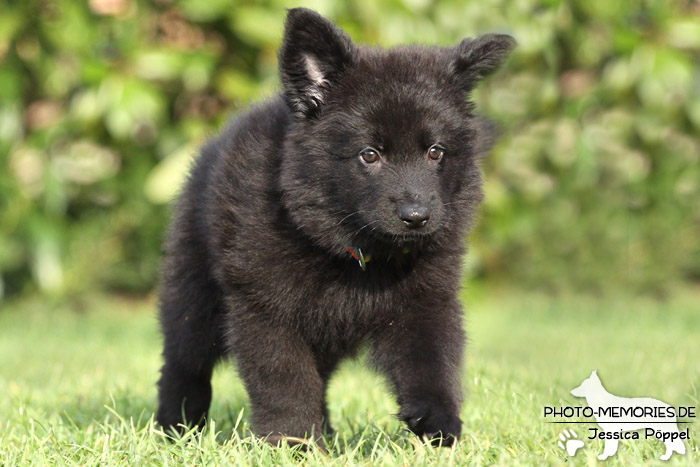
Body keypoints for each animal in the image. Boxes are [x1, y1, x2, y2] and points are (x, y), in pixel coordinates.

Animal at [156, 7, 512, 450]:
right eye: (369, 155)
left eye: (435, 152)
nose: (416, 216)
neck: (355, 254)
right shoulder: (264, 308)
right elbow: (284, 380)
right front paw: (291, 441)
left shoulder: (426, 299)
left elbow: (433, 360)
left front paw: (438, 425)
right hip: (193, 298)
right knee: (183, 364)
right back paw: (176, 429)